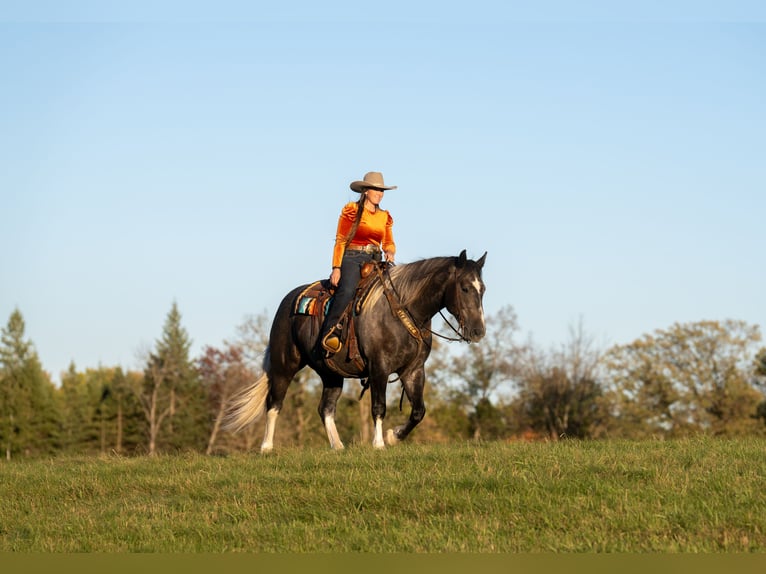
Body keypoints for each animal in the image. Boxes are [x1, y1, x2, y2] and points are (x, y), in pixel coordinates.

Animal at [225, 249, 487, 451]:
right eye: (464, 288)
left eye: (482, 289)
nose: (478, 331)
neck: (402, 310)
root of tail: (289, 299)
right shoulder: (379, 368)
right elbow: (379, 407)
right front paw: (379, 443)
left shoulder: (413, 371)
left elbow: (418, 411)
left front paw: (394, 436)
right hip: (284, 365)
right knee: (274, 403)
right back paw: (266, 447)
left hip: (330, 373)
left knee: (325, 408)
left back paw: (338, 446)